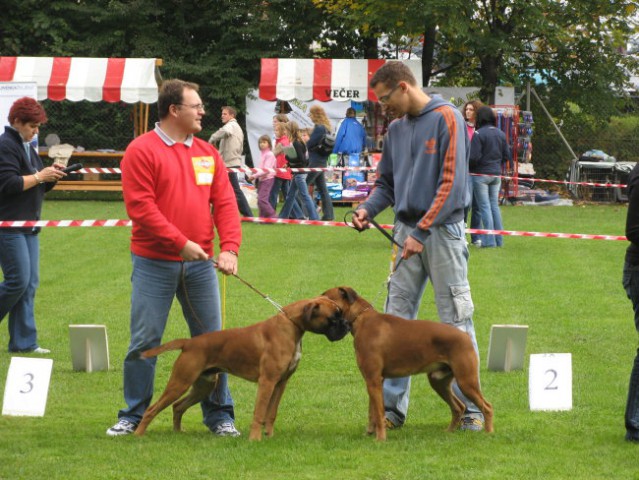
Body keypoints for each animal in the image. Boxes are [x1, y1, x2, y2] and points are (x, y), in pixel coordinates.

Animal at [132, 298, 348, 440]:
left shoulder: (281, 383)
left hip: (203, 386)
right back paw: (138, 434)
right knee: (151, 409)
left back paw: (177, 432)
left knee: (178, 406)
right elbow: (259, 412)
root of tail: (189, 343)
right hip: (180, 382)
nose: (346, 324)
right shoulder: (267, 382)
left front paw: (269, 435)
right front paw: (255, 438)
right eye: (333, 317)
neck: (291, 326)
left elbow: (271, 412)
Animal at [322, 286, 492, 440]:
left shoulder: (374, 380)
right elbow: (372, 412)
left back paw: (489, 433)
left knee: (487, 407)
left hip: (466, 381)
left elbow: (378, 413)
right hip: (439, 382)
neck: (362, 318)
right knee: (458, 407)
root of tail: (465, 336)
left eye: (325, 296)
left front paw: (380, 439)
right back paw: (449, 432)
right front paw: (369, 433)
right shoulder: (372, 381)